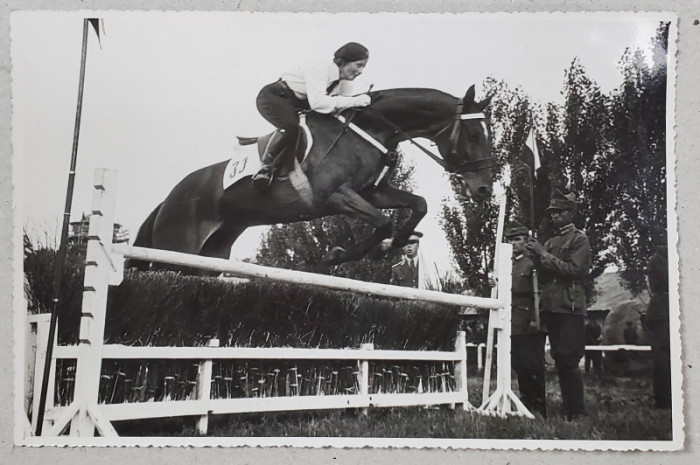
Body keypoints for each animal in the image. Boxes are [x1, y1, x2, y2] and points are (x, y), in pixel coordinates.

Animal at [129, 85, 494, 270]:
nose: (483, 190)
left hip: (215, 250)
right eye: (475, 134)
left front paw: (393, 245)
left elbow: (418, 205)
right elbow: (382, 223)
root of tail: (169, 199)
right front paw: (339, 255)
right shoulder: (333, 195)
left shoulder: (372, 193)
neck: (369, 129)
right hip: (176, 247)